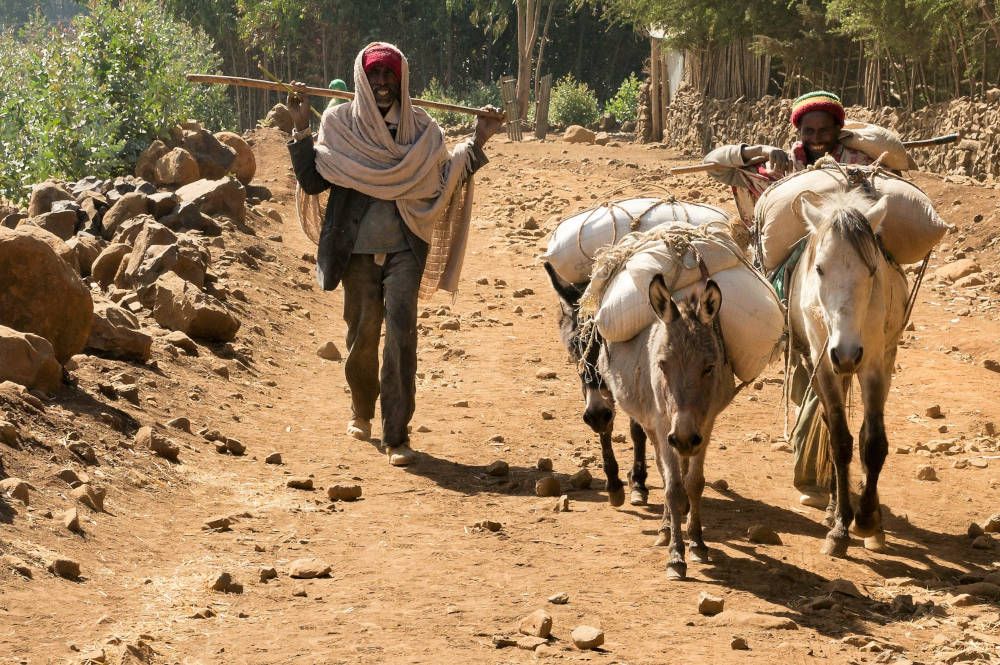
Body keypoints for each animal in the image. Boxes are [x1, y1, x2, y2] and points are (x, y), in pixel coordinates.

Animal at [596, 274, 740, 576]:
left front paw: (697, 543)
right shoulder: (663, 426)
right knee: (665, 472)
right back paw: (664, 528)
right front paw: (676, 555)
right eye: (662, 365)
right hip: (654, 427)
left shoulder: (706, 425)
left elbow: (695, 483)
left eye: (709, 367)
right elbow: (672, 486)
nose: (684, 437)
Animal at [792, 188, 912, 556]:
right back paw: (833, 508)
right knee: (832, 427)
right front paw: (841, 528)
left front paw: (869, 521)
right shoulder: (822, 363)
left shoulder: (874, 363)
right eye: (819, 268)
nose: (845, 354)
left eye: (872, 270)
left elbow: (872, 442)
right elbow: (840, 441)